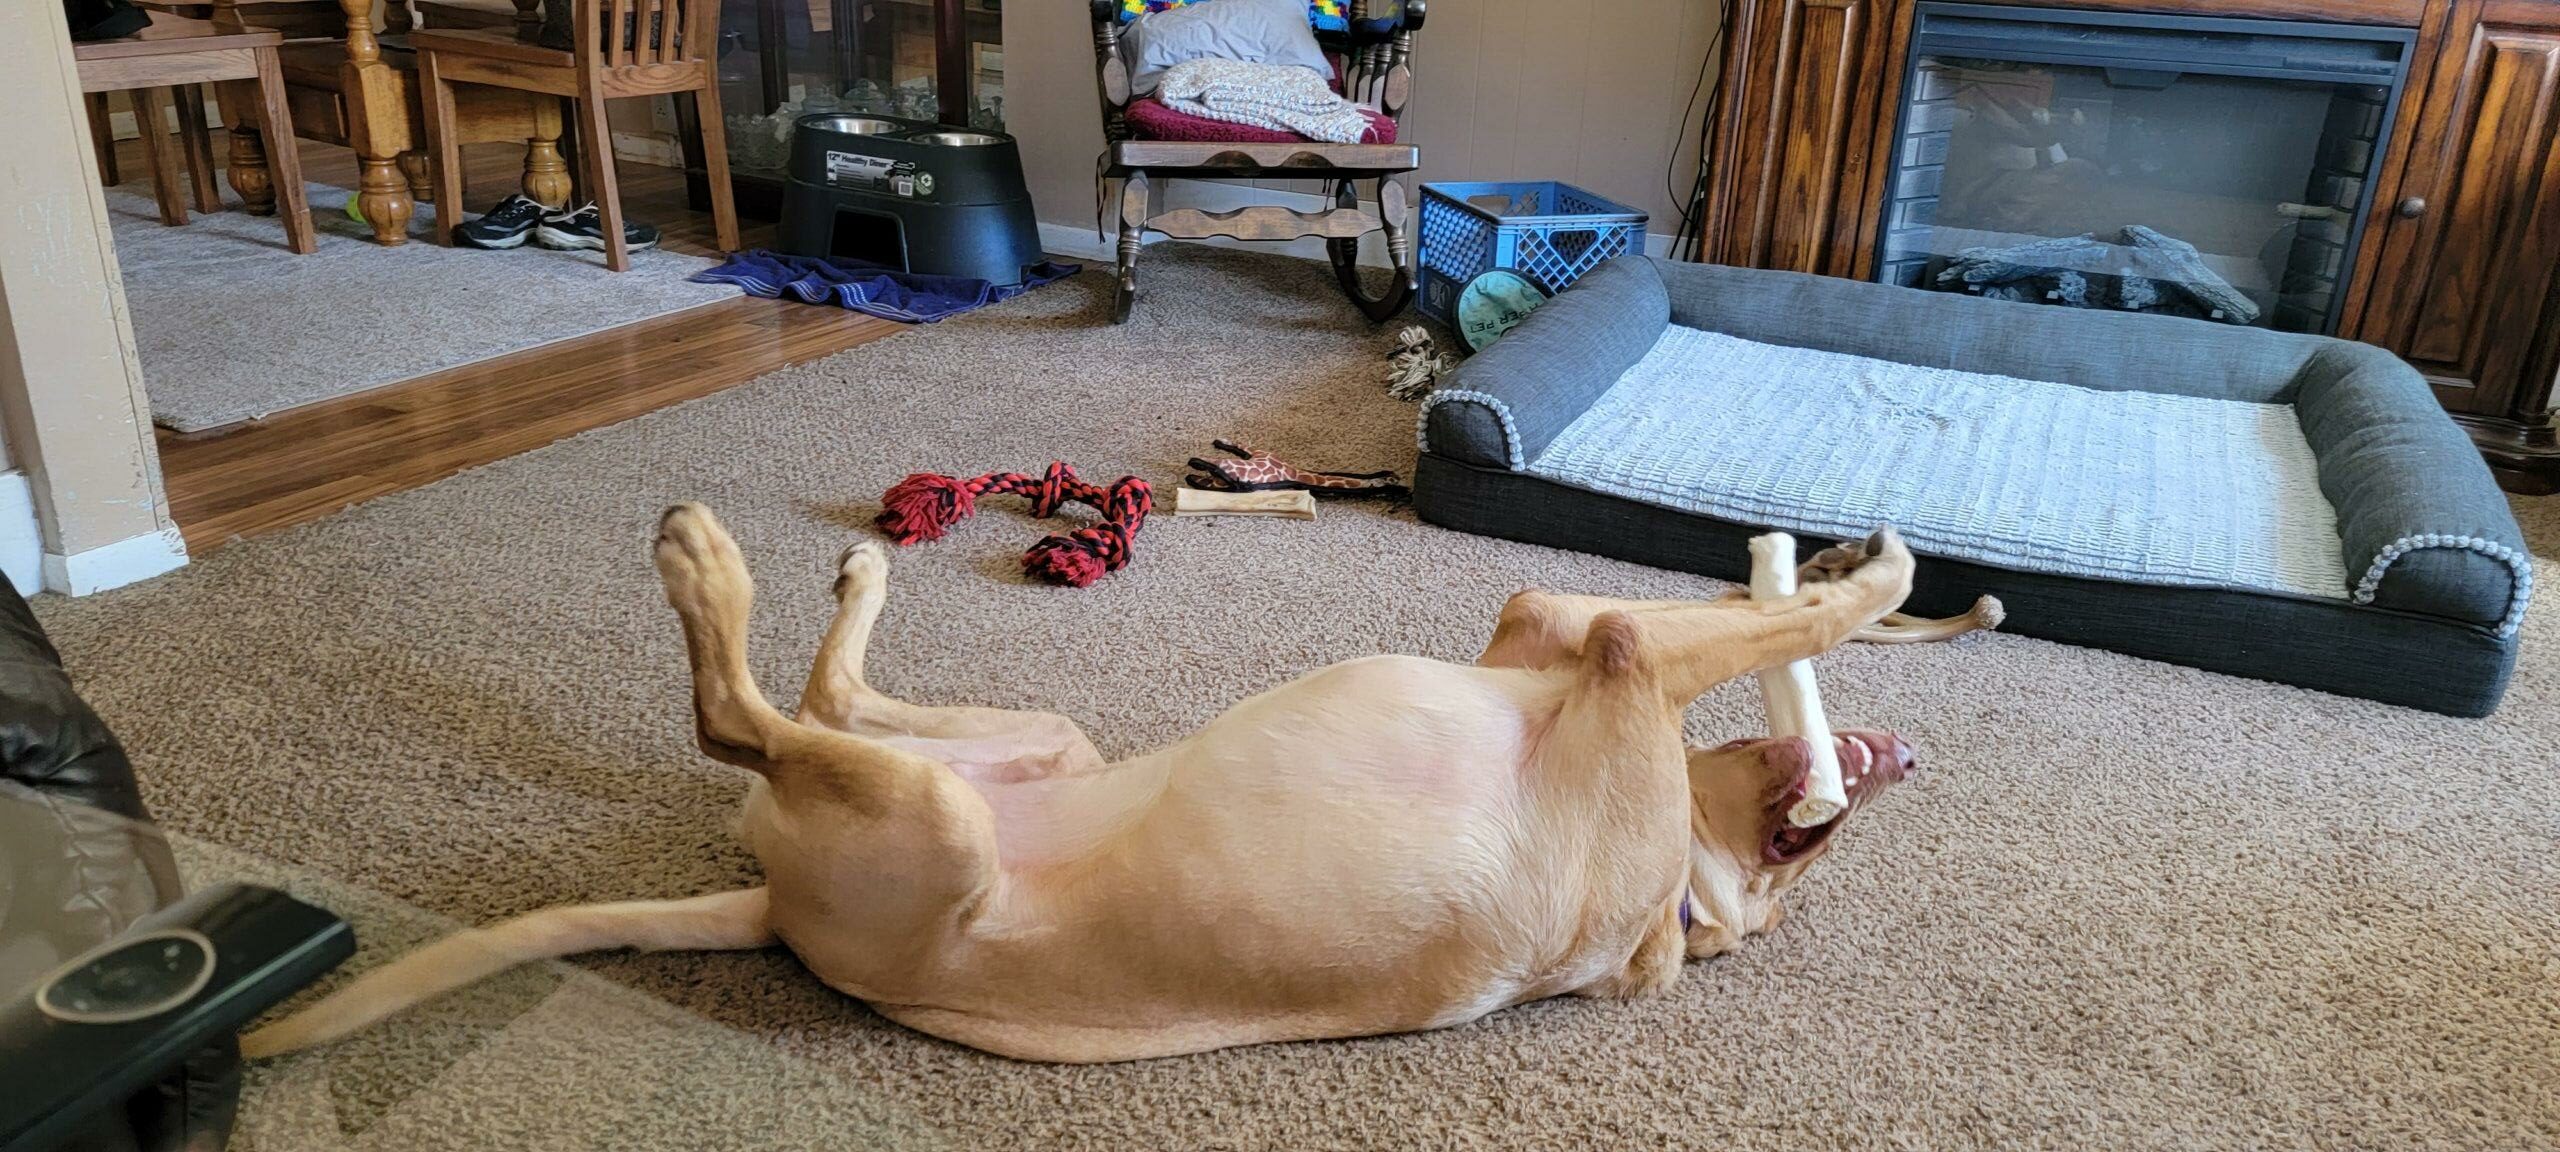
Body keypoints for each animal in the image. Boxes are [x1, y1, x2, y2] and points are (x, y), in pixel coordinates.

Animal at [244, 504, 1925, 1059]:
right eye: (1802, 868)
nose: (1895, 763)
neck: (1674, 916)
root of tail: (768, 908)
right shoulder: (1552, 641)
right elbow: (1711, 618)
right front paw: (1848, 572)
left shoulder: (1615, 668)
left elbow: (1722, 624)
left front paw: (1872, 577)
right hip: (1027, 747)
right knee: (817, 698)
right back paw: (843, 572)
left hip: (929, 823)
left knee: (741, 714)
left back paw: (707, 567)